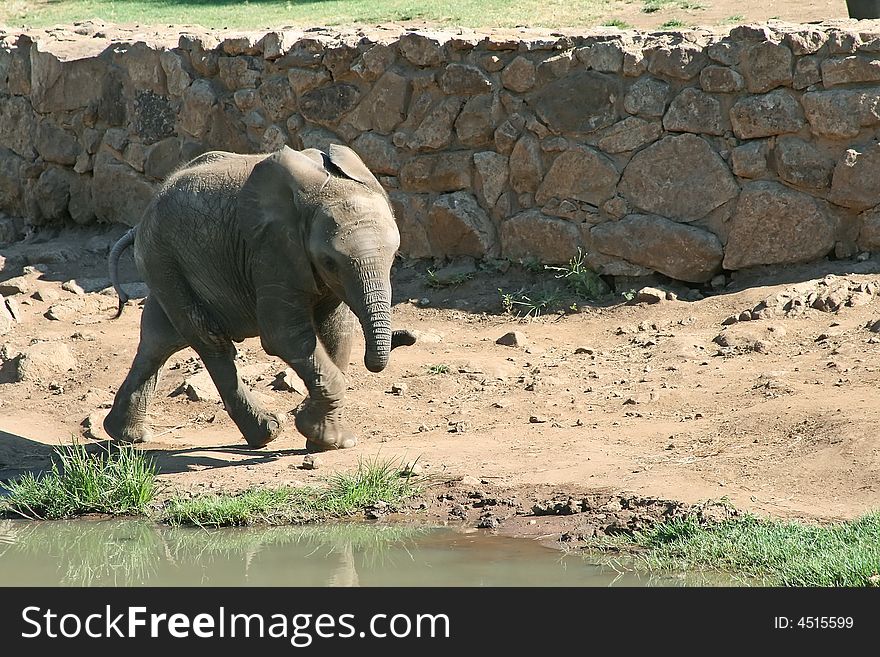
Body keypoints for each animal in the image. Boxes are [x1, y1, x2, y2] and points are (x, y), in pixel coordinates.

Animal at [104, 144, 416, 452]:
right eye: (329, 262)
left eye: (394, 256)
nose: (408, 336)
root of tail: (140, 220)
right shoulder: (271, 250)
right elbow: (283, 336)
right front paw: (325, 437)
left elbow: (337, 331)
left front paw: (323, 440)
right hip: (164, 258)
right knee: (210, 341)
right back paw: (266, 433)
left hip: (166, 265)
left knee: (160, 340)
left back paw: (128, 436)